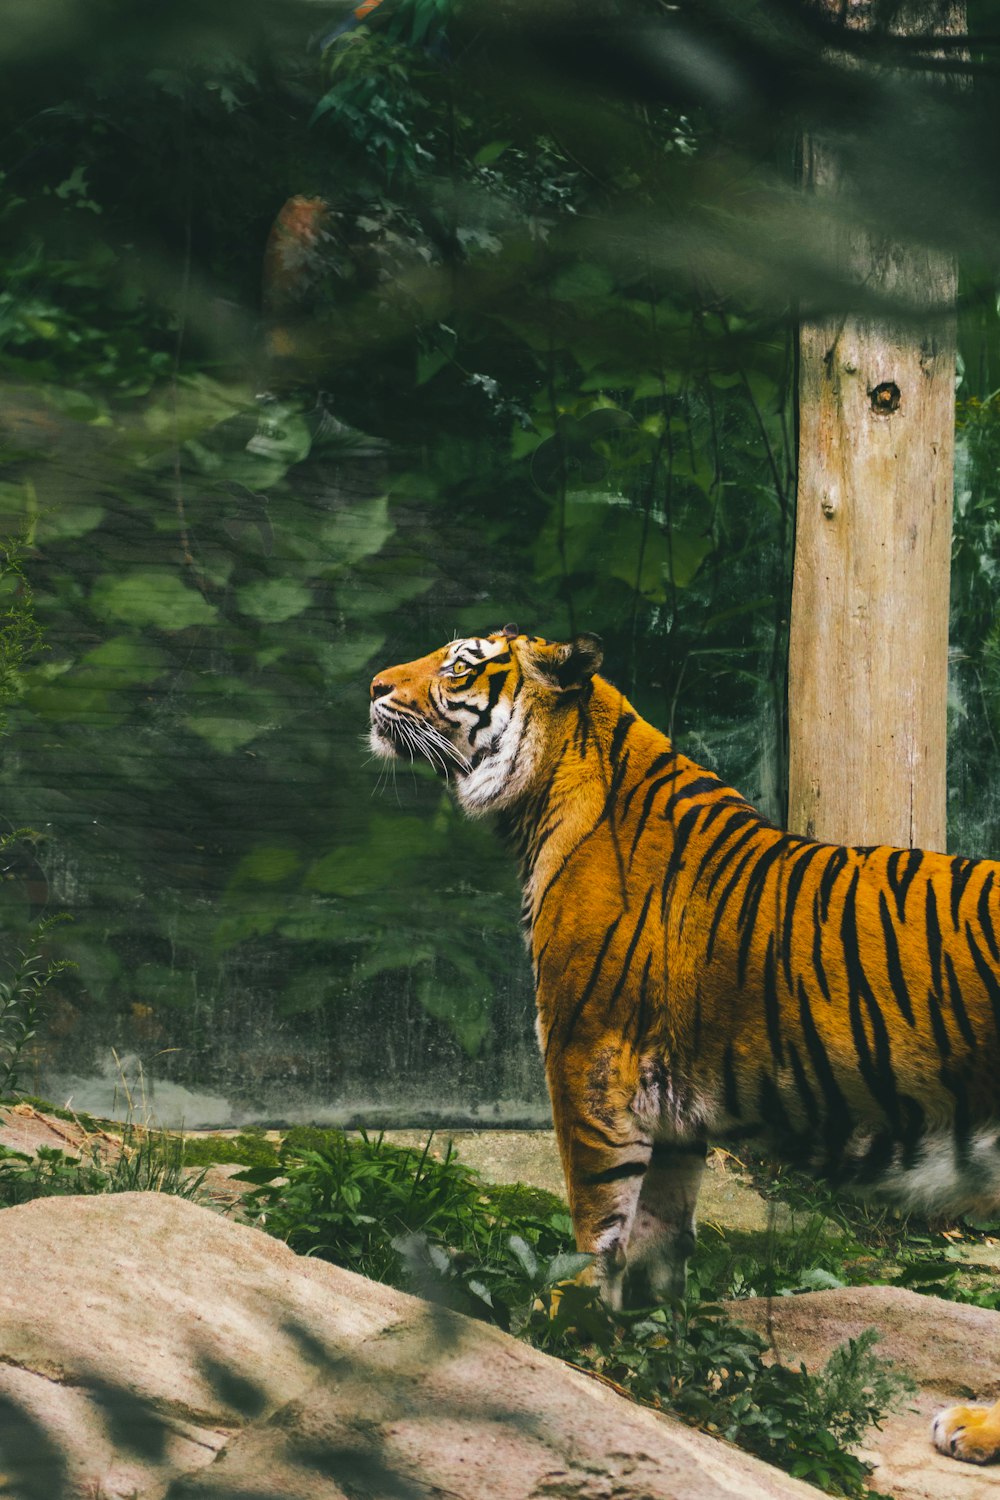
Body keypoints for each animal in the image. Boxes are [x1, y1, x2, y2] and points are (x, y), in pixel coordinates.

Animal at [371, 621, 1000, 1464]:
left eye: (459, 666)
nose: (374, 686)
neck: (546, 799)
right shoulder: (671, 1109)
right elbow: (656, 1240)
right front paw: (653, 1355)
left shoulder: (587, 1061)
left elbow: (596, 1221)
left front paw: (567, 1331)